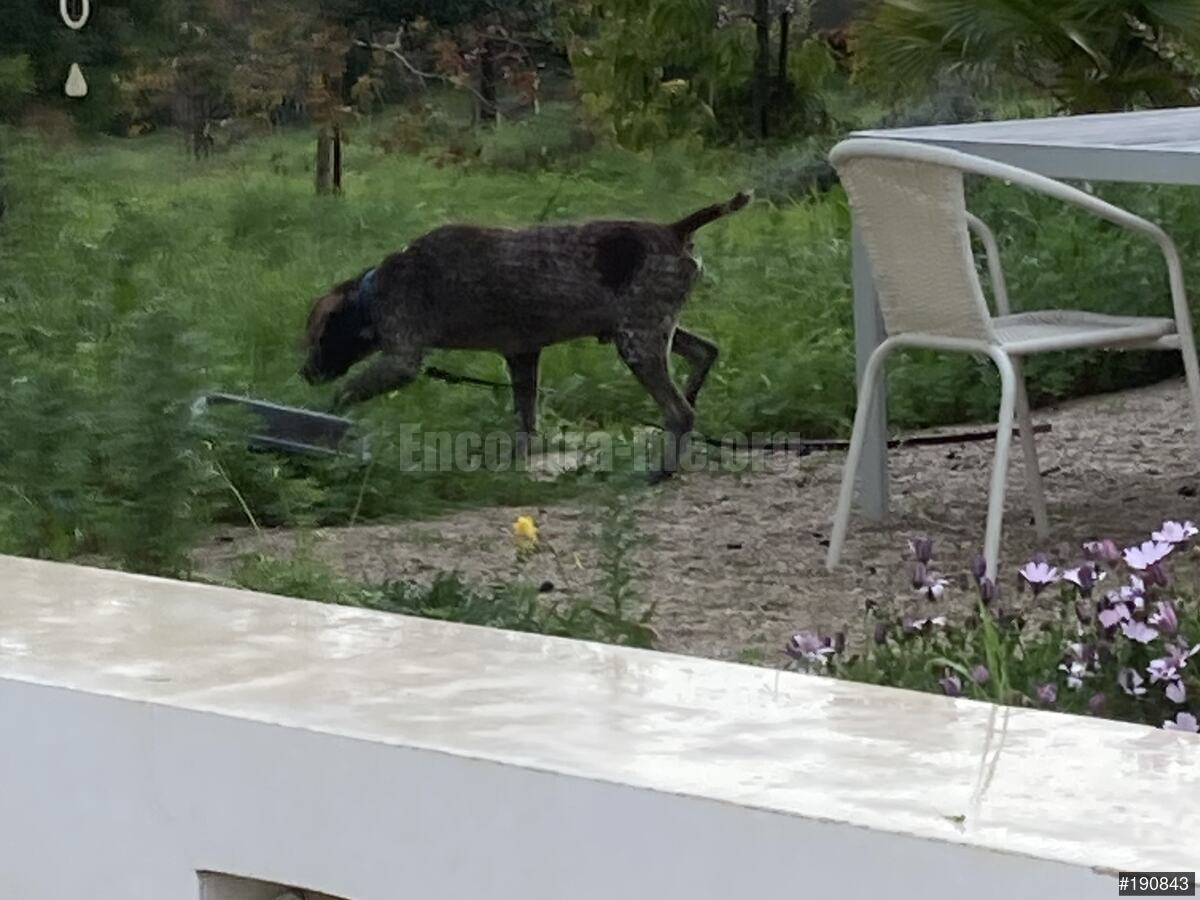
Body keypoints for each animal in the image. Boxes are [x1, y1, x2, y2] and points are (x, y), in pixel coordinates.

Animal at [300, 191, 751, 478]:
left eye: (316, 337)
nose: (304, 374)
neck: (375, 291)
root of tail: (675, 230)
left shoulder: (401, 360)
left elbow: (345, 392)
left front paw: (327, 415)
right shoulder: (521, 355)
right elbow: (525, 422)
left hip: (637, 343)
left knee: (680, 412)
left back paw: (663, 470)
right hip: (650, 332)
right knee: (705, 353)